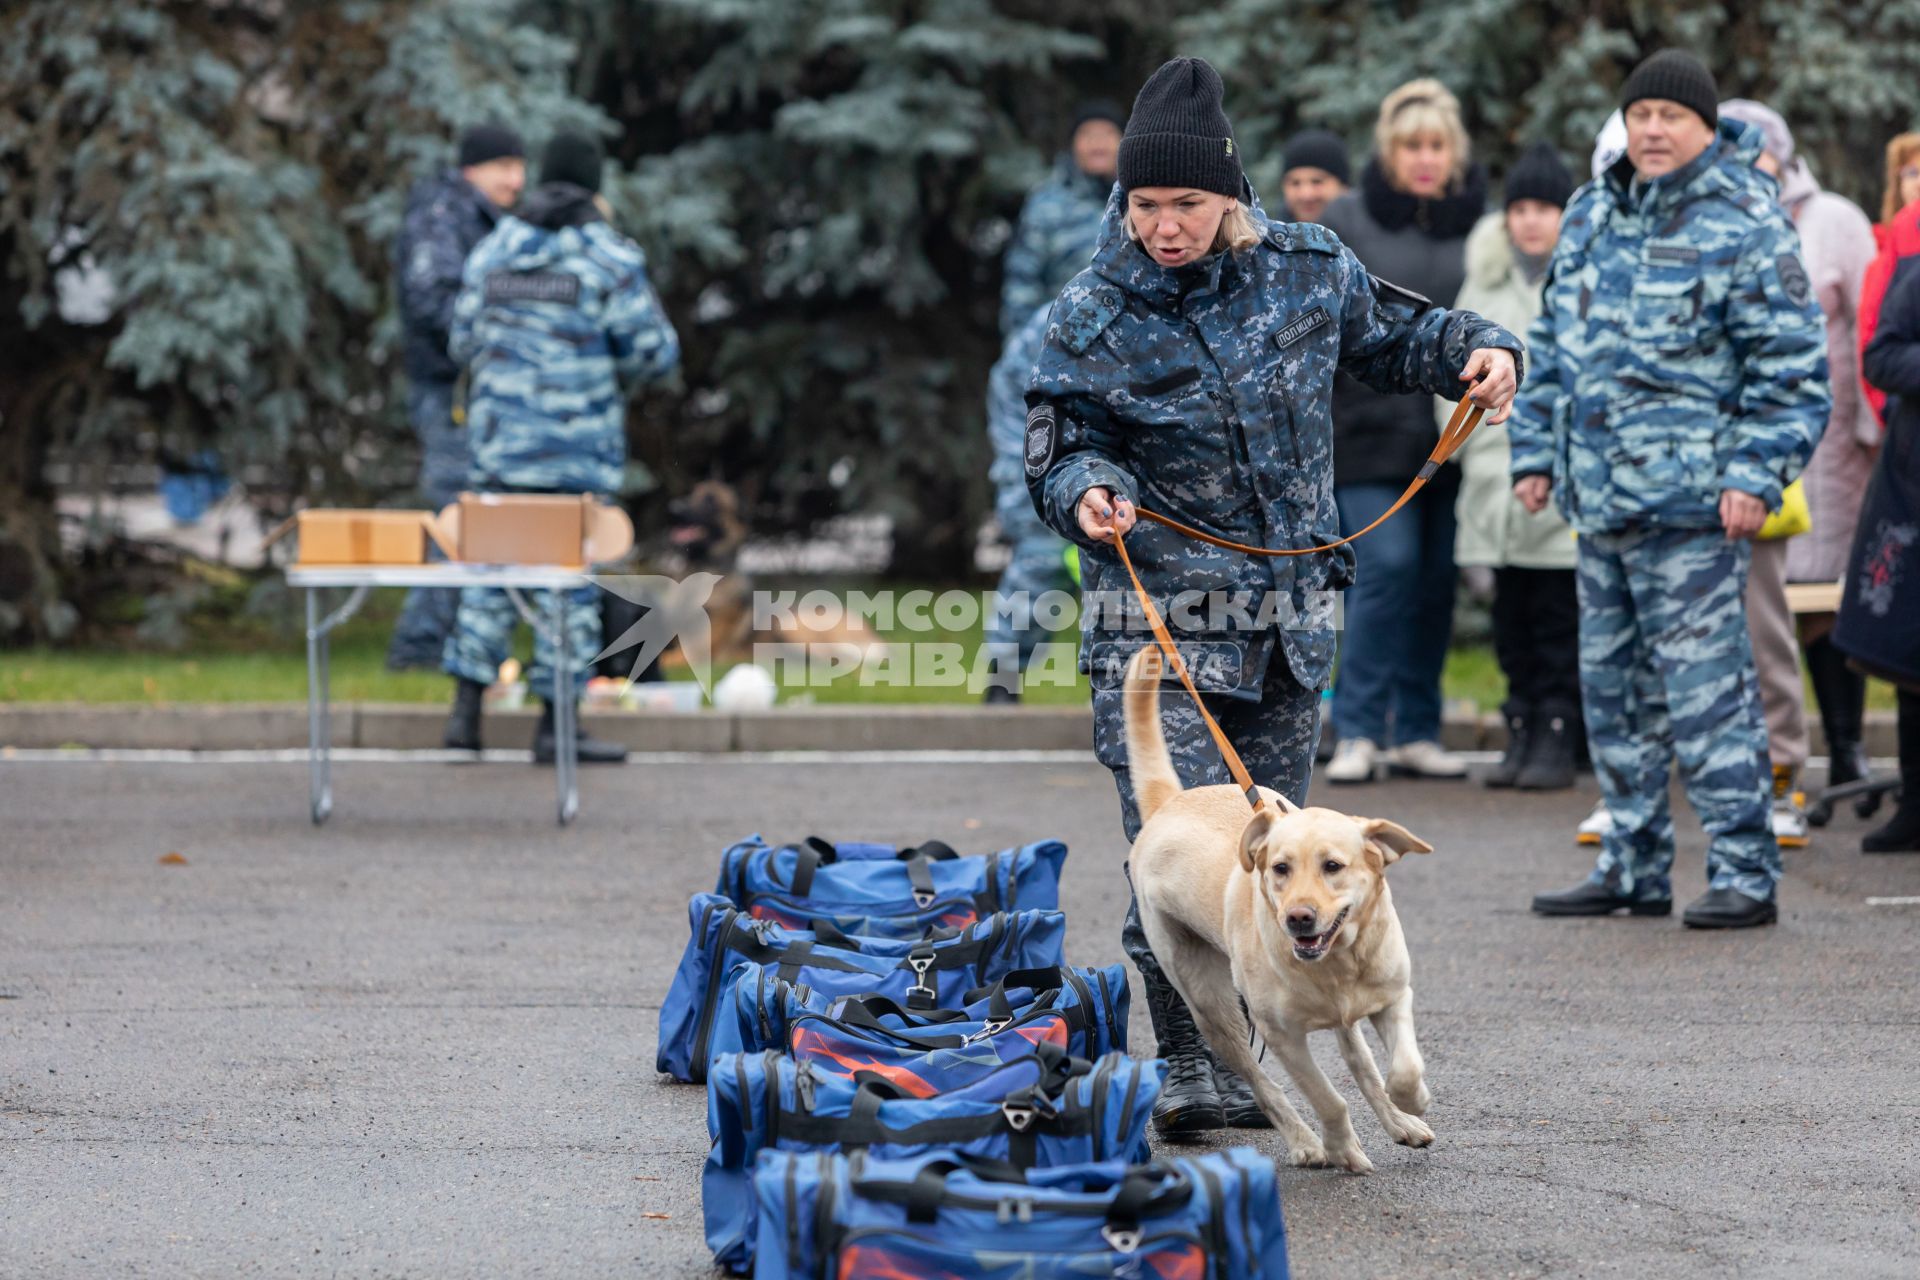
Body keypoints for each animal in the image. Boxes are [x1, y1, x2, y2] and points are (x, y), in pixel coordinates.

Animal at [1121, 644, 1443, 1174]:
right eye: (1280, 868)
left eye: (1333, 866)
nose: (1298, 918)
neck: (1338, 964)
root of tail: (1170, 803)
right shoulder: (1283, 1036)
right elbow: (1327, 1098)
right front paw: (1340, 1147)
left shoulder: (1394, 997)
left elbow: (1400, 1066)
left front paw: (1411, 1100)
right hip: (1211, 1005)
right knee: (1263, 1084)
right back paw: (1304, 1140)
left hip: (1338, 1020)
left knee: (1361, 1066)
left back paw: (1400, 1123)